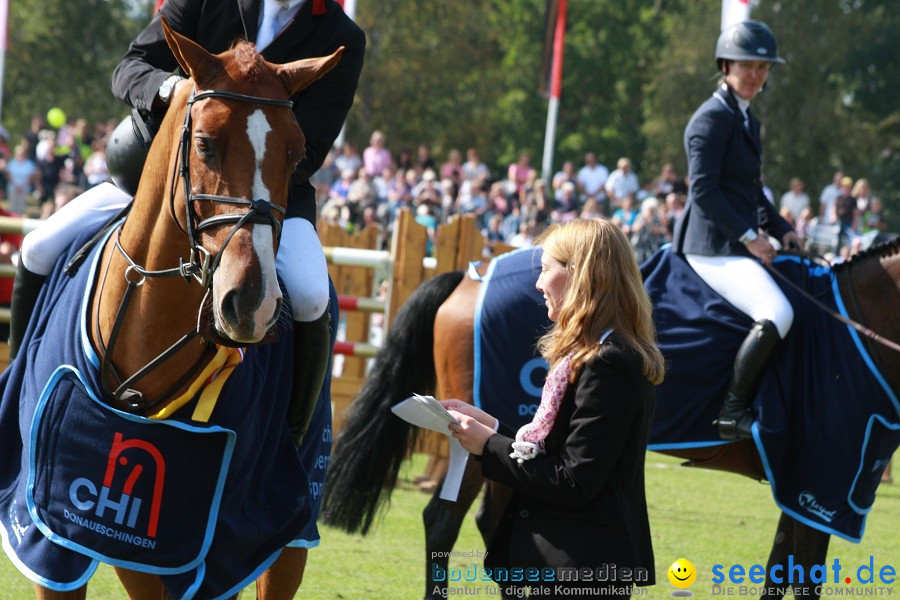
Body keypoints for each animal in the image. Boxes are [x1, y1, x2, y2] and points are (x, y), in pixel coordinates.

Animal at [0, 18, 342, 600]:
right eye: (205, 144)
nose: (251, 302)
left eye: (298, 154)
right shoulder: (54, 525)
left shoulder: (215, 542)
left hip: (287, 528)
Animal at [324, 240, 900, 600]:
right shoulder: (823, 483)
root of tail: (471, 276)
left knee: (495, 522)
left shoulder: (802, 486)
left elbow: (782, 567)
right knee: (443, 523)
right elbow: (804, 574)